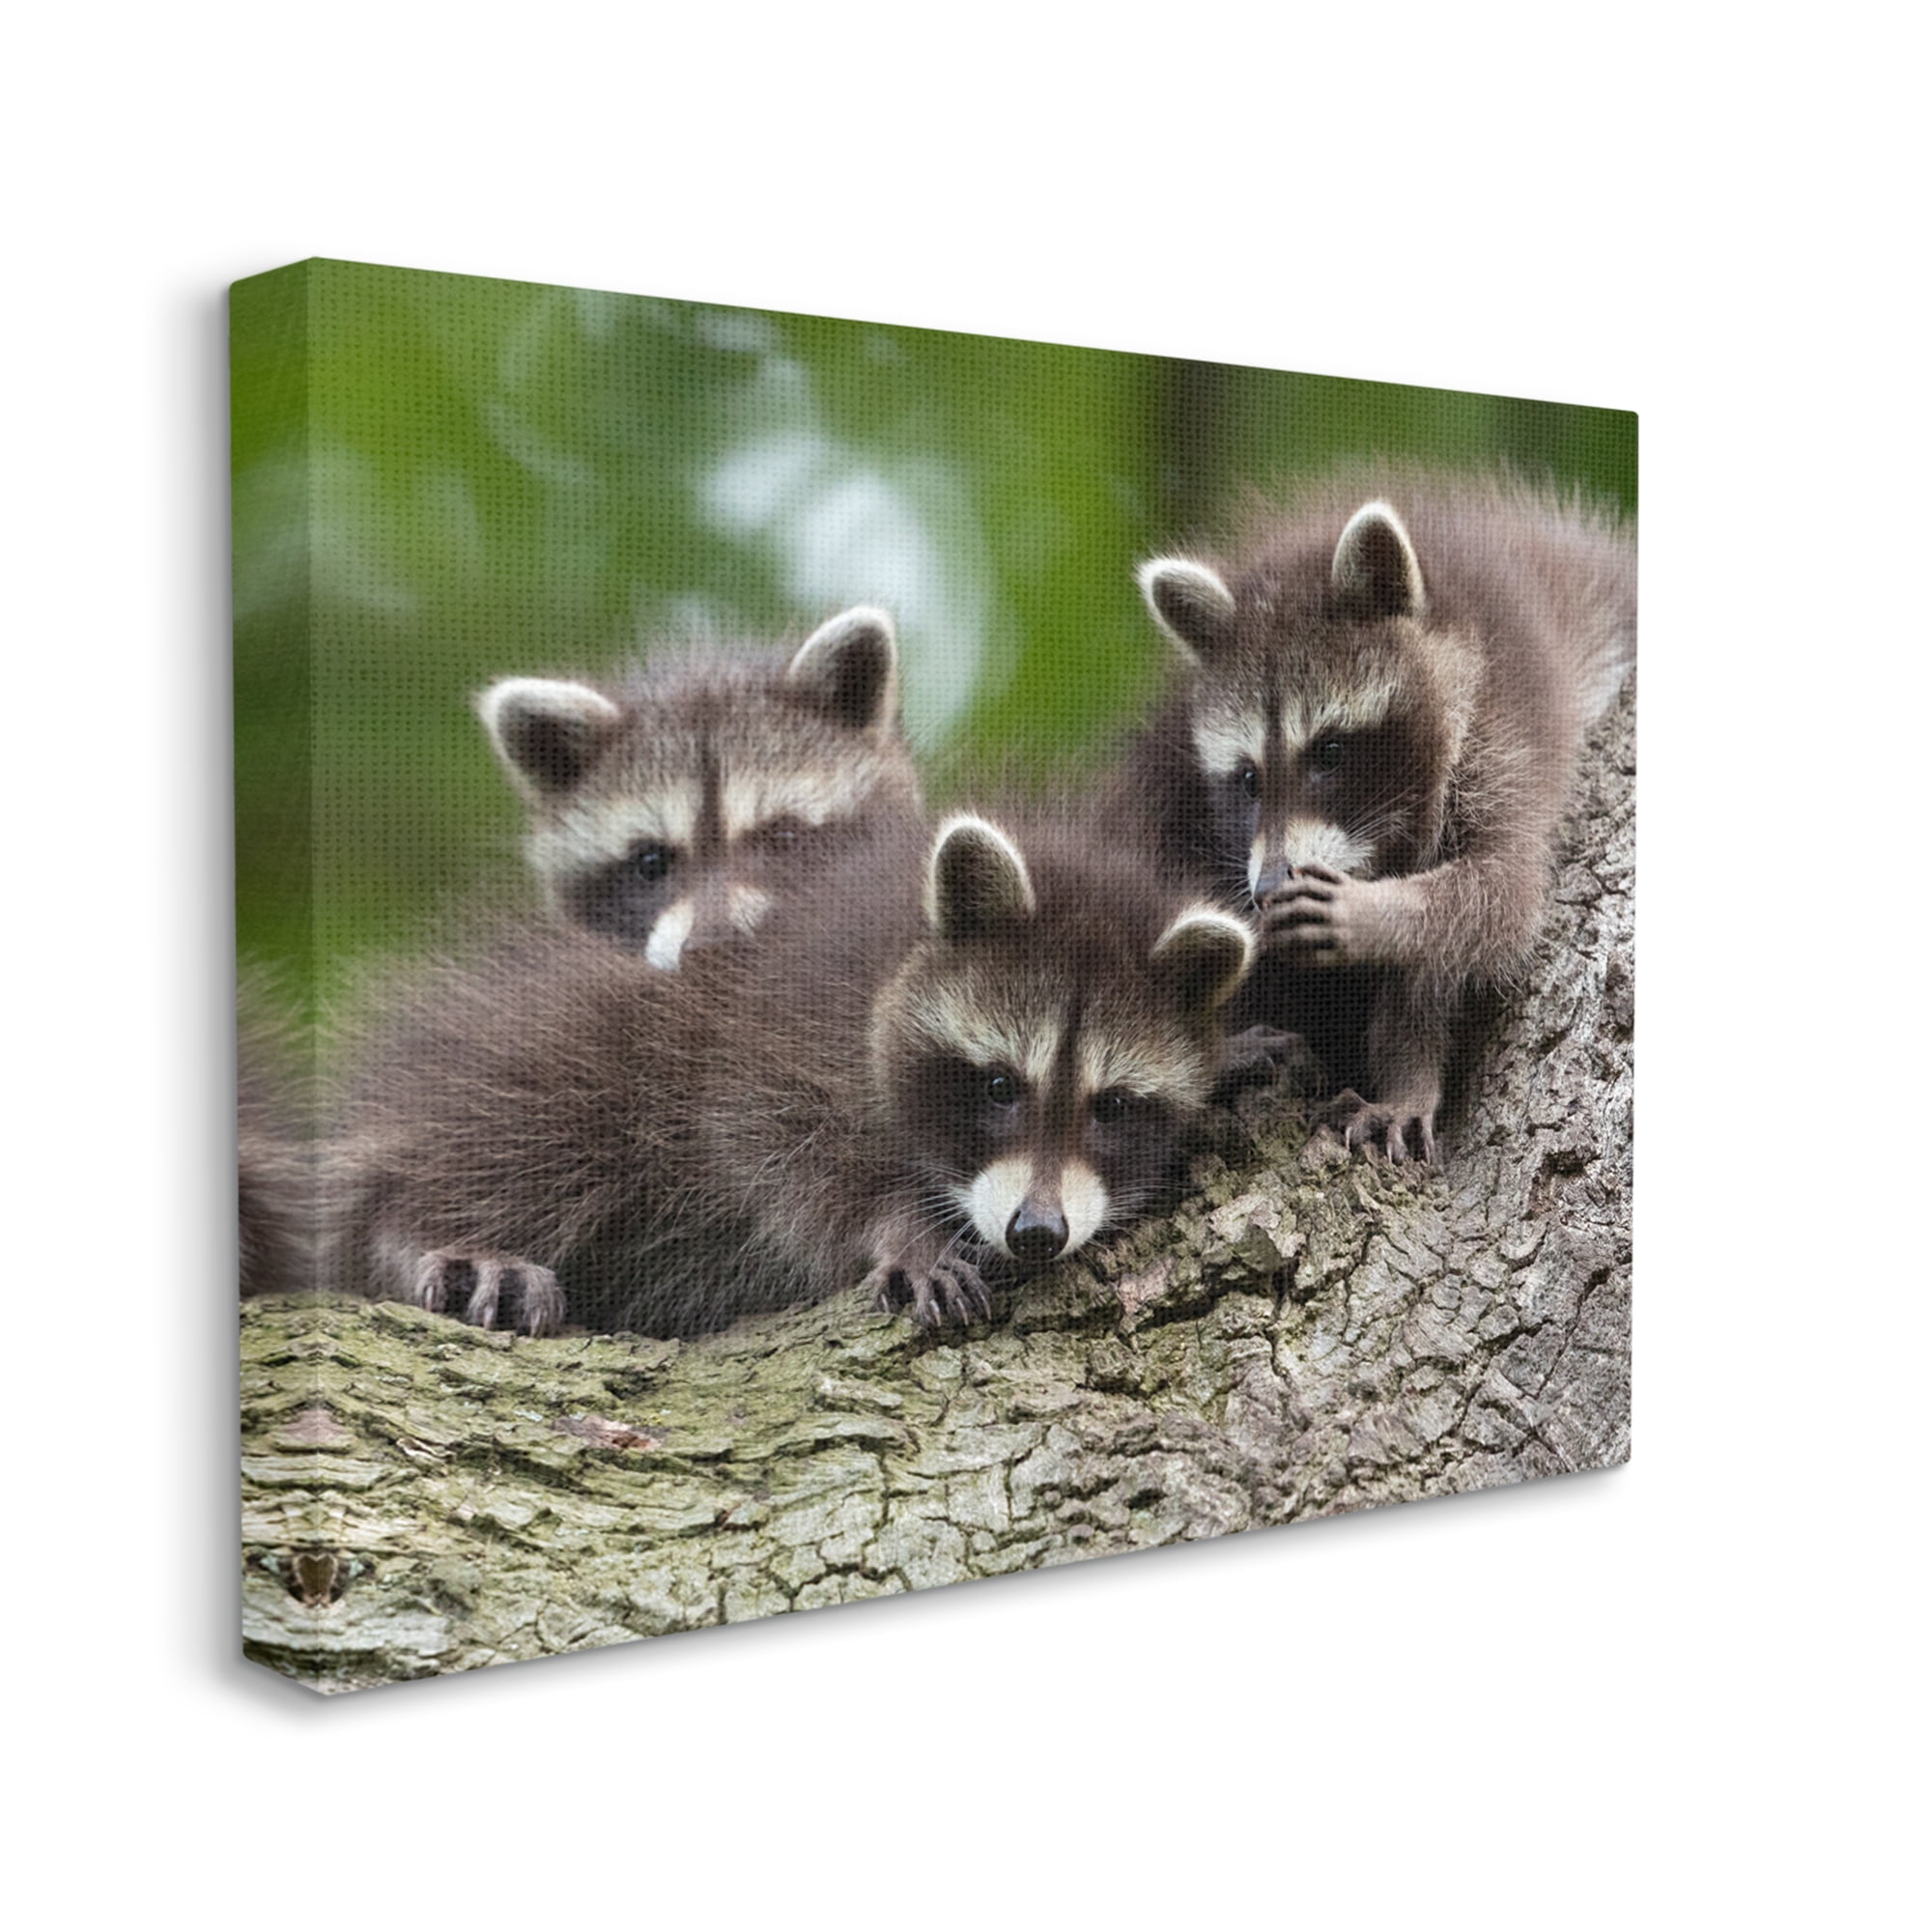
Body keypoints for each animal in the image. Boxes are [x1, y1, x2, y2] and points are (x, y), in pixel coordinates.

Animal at [331, 812, 1253, 1337]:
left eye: (1113, 1107)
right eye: (1000, 1086)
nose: (1035, 1233)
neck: (899, 951)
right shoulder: (783, 1028)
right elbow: (779, 1149)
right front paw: (900, 1225)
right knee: (552, 1105)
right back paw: (423, 1227)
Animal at [1134, 473, 1635, 1161]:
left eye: (1330, 751)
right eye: (1248, 779)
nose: (1266, 887)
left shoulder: (1507, 733)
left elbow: (1498, 898)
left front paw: (1375, 915)